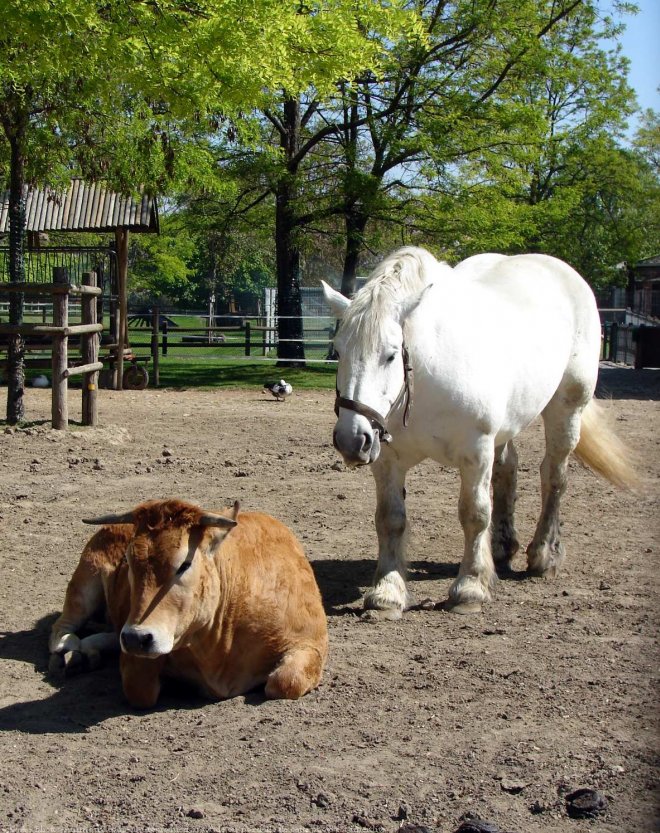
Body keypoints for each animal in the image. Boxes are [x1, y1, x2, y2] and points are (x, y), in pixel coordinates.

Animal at [50, 498, 328, 704]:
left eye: (184, 563)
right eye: (127, 560)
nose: (136, 638)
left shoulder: (311, 642)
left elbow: (284, 682)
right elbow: (140, 690)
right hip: (86, 581)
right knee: (62, 627)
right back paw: (73, 653)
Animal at [322, 244, 636, 616]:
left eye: (390, 355)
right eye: (339, 351)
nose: (351, 440)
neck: (427, 374)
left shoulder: (476, 450)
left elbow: (474, 514)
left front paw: (469, 588)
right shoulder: (388, 459)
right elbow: (390, 519)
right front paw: (387, 593)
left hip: (566, 408)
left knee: (554, 477)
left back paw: (543, 555)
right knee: (507, 470)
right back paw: (501, 548)